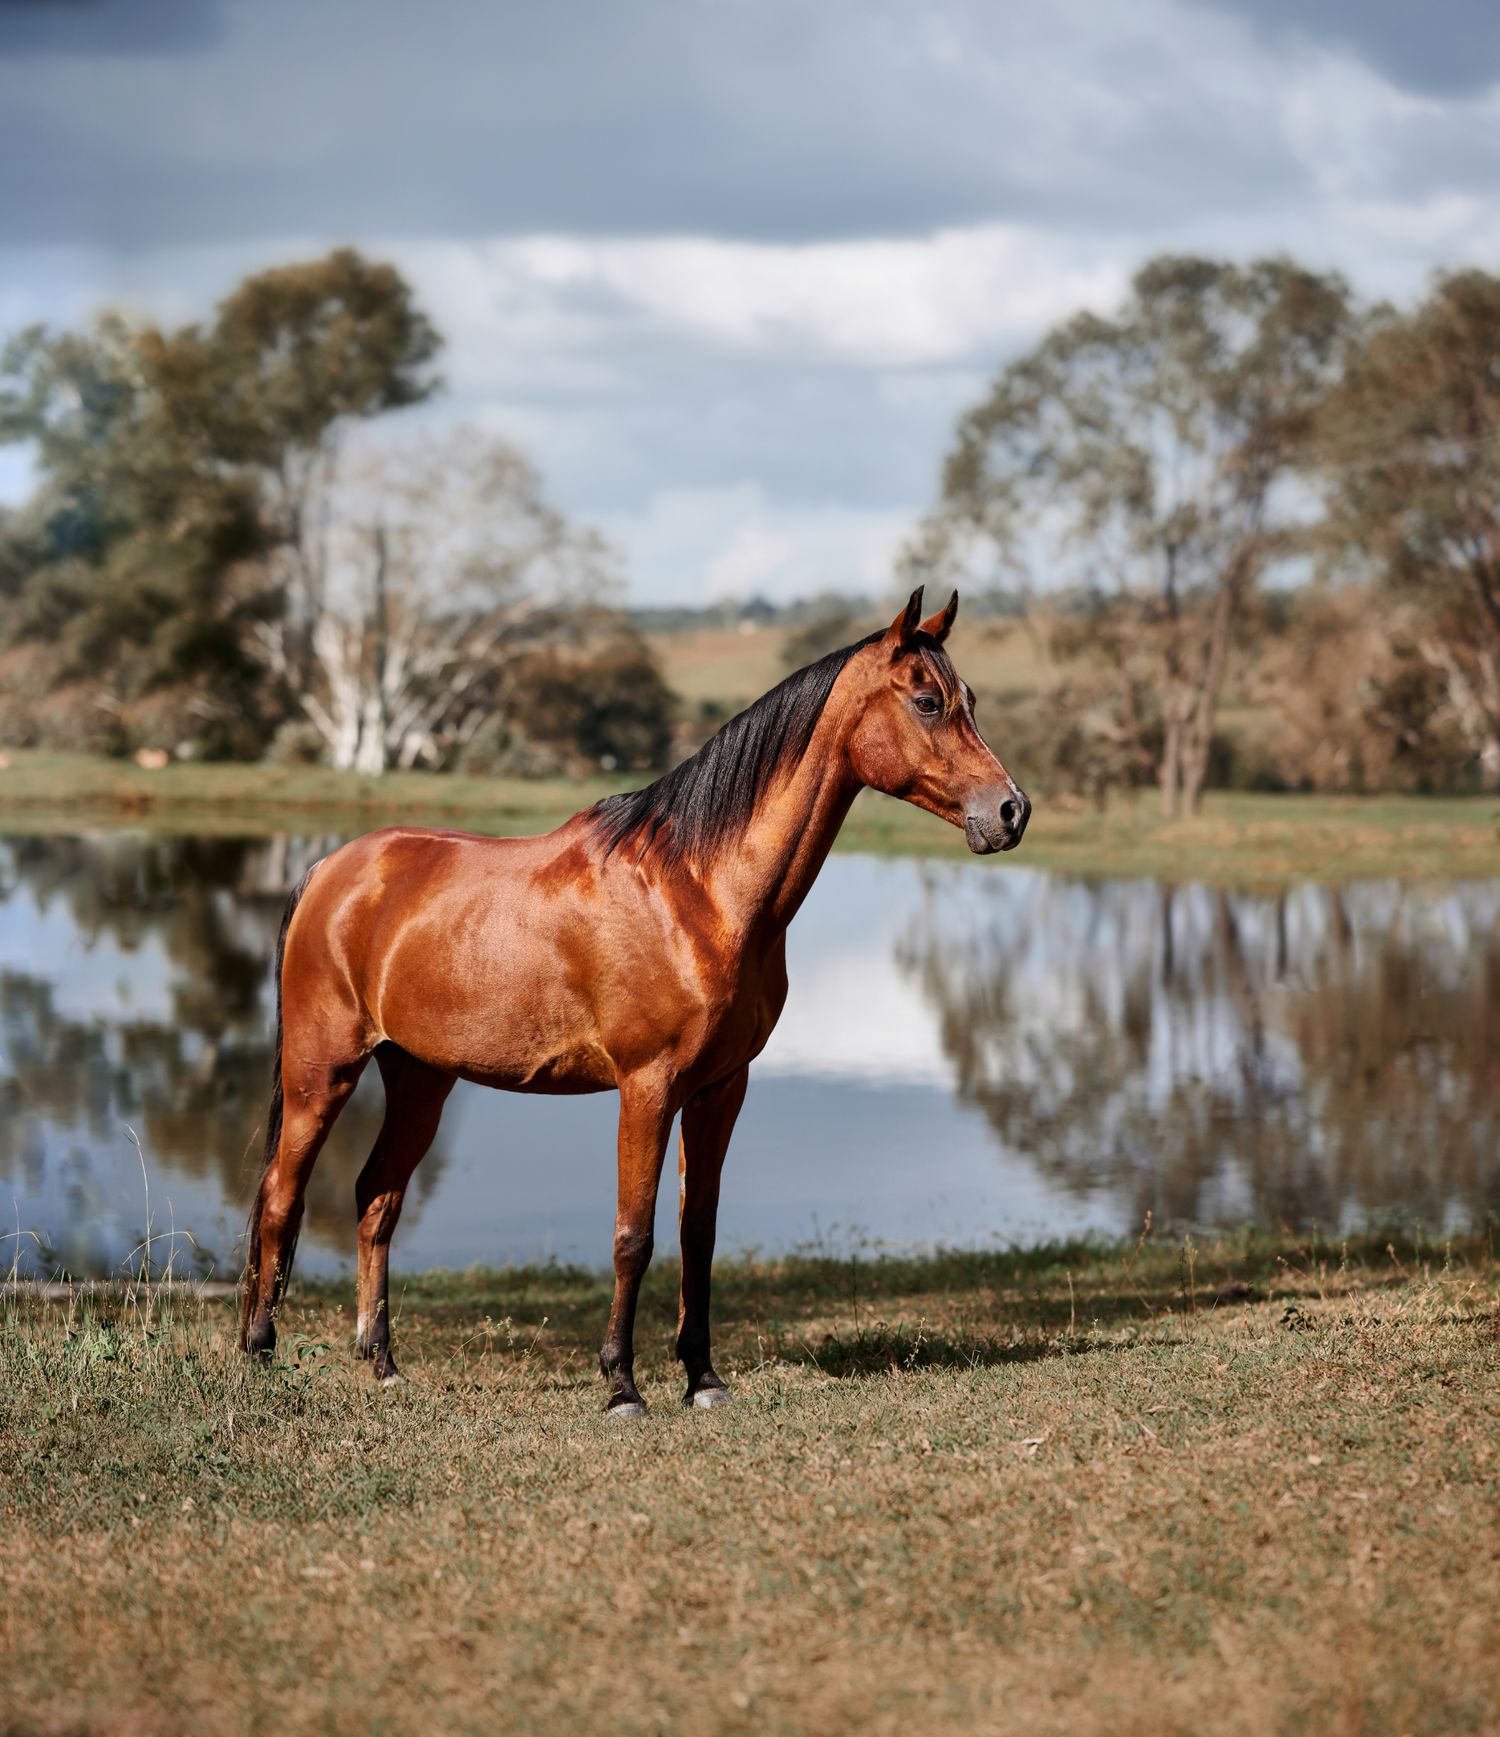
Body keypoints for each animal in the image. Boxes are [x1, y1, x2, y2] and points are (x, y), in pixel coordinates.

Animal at [239, 586, 1030, 1414]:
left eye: (970, 700)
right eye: (927, 701)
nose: (1012, 811)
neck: (698, 889)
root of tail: (332, 868)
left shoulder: (720, 1088)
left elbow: (697, 1232)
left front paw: (702, 1377)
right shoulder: (647, 1087)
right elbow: (633, 1234)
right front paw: (622, 1384)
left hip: (419, 1078)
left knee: (375, 1199)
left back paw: (383, 1362)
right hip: (321, 1071)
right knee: (281, 1193)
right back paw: (259, 1351)